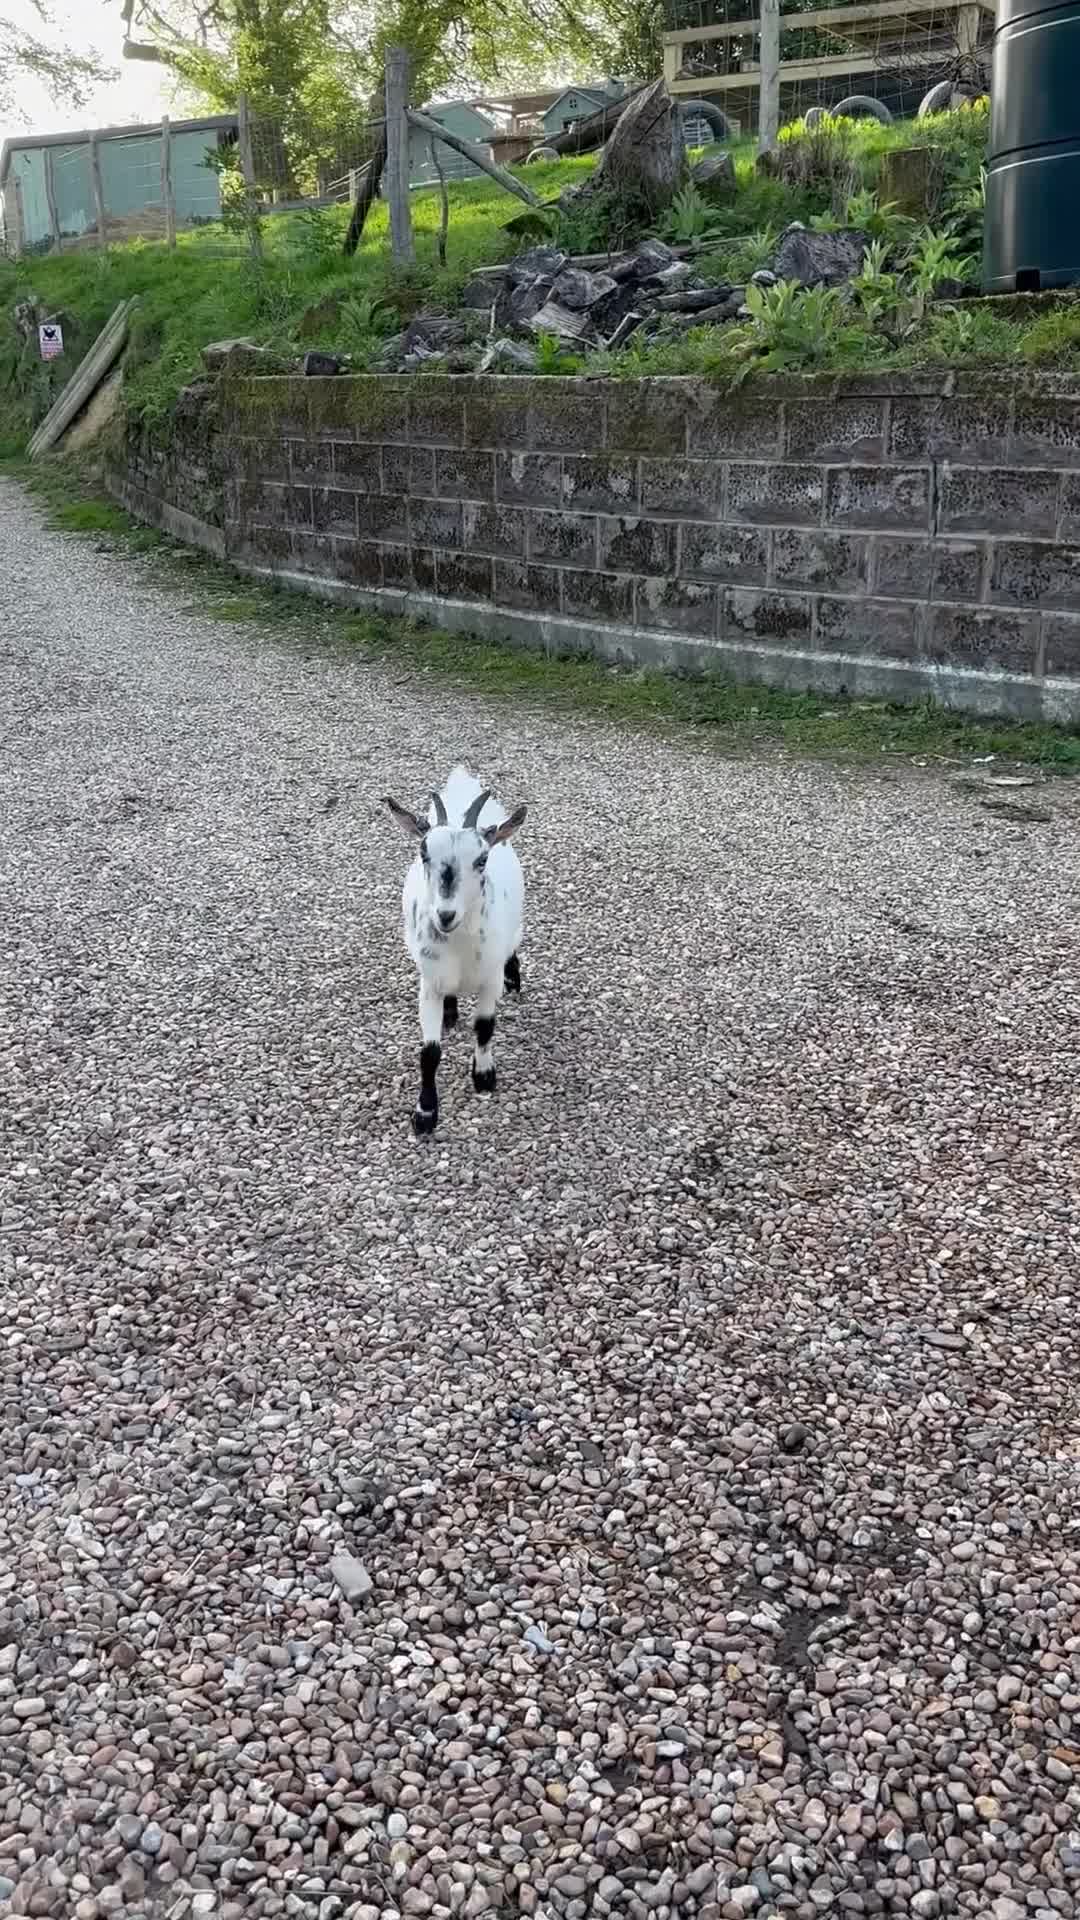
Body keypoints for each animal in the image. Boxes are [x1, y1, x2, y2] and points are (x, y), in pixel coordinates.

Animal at [384, 766, 527, 1135]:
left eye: (482, 859)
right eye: (423, 854)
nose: (445, 915)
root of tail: (462, 782)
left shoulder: (489, 980)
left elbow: (485, 1027)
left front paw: (484, 1076)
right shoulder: (429, 984)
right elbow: (429, 1053)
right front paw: (425, 1113)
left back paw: (515, 976)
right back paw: (450, 1011)